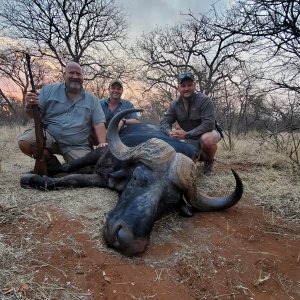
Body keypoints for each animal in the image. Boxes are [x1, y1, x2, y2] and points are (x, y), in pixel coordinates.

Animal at [19, 109, 243, 256]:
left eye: (169, 201)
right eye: (137, 178)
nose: (126, 241)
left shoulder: (100, 179)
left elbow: (73, 180)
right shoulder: (98, 154)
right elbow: (67, 171)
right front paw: (33, 176)